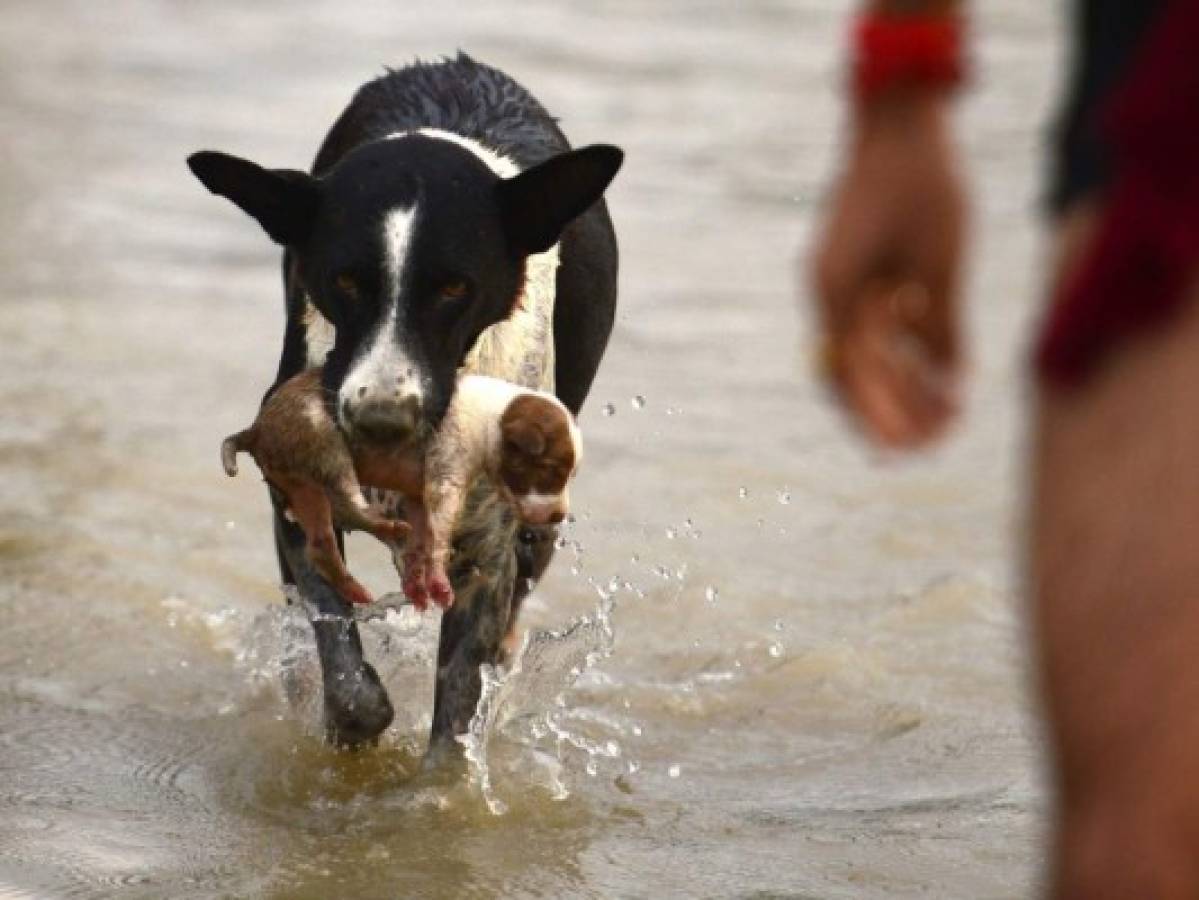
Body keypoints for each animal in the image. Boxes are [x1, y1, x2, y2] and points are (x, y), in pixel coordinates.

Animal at [225, 371, 580, 613]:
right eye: (552, 471)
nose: (559, 515)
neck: (492, 420)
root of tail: (255, 429)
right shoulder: (444, 481)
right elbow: (437, 537)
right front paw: (438, 582)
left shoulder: (418, 496)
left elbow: (423, 538)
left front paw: (417, 581)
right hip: (324, 441)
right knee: (346, 500)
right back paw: (384, 530)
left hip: (303, 488)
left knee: (322, 543)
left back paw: (357, 583)